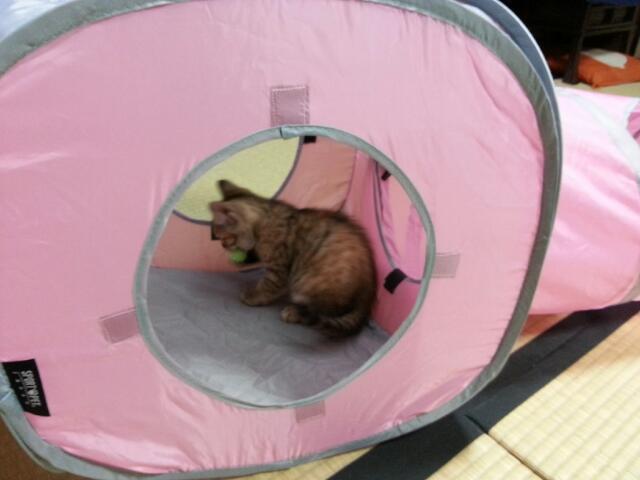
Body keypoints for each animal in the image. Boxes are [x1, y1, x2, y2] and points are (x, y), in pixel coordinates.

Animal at [210, 179, 377, 337]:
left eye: (223, 237)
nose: (222, 245)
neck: (266, 217)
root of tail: (366, 301)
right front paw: (241, 261)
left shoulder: (278, 268)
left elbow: (268, 286)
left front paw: (253, 296)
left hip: (311, 283)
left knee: (318, 313)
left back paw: (294, 313)